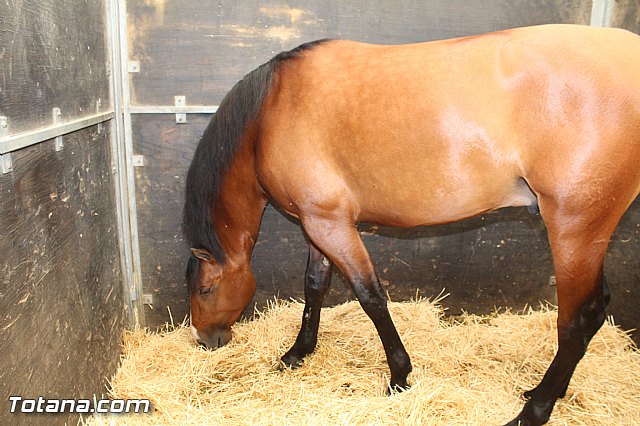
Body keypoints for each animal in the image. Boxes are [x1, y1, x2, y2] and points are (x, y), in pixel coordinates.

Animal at [182, 24, 640, 425]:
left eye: (204, 289)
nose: (206, 340)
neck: (272, 111)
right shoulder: (318, 223)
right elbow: (314, 287)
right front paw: (298, 353)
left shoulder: (331, 226)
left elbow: (370, 298)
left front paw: (399, 375)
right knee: (593, 311)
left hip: (574, 229)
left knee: (578, 319)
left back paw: (535, 409)